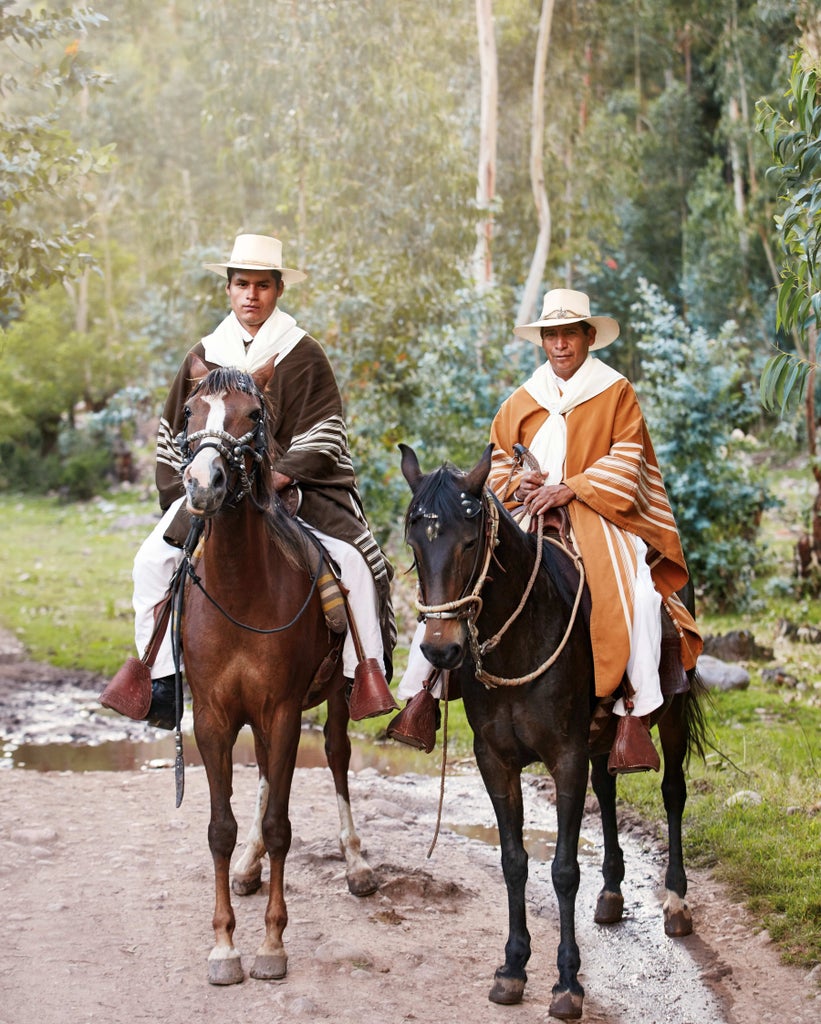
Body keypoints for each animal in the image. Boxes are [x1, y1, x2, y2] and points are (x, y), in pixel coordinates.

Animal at [177, 358, 376, 983]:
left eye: (253, 414)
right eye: (190, 411)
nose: (204, 483)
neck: (241, 591)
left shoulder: (285, 711)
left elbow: (280, 826)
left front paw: (270, 944)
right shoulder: (213, 718)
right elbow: (222, 828)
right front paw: (224, 946)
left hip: (336, 696)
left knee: (336, 757)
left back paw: (356, 862)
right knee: (265, 772)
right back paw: (247, 867)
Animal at [399, 446, 708, 1024]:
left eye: (470, 542)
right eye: (414, 544)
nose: (441, 650)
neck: (521, 637)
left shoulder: (564, 755)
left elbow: (563, 869)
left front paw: (567, 982)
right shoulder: (494, 759)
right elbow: (514, 861)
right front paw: (512, 967)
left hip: (672, 711)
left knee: (673, 792)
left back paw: (676, 902)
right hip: (601, 732)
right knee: (607, 788)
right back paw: (611, 892)